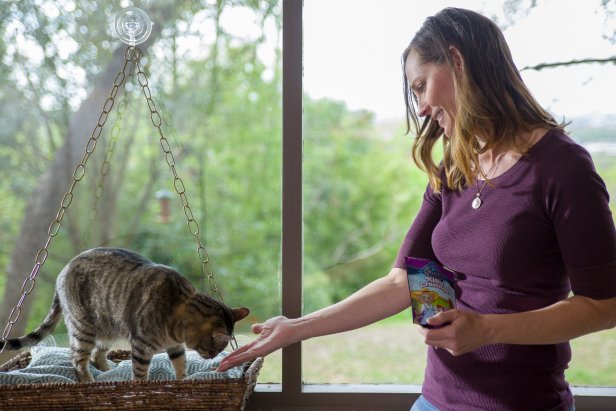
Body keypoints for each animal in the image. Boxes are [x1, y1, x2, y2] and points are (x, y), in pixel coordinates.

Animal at [1, 248, 250, 384]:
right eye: (214, 348)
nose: (211, 357)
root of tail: (64, 270)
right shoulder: (140, 346)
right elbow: (140, 373)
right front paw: (140, 386)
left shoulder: (176, 347)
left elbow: (181, 365)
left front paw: (183, 380)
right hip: (83, 328)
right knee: (78, 360)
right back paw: (91, 381)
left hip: (108, 329)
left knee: (96, 356)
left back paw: (108, 372)